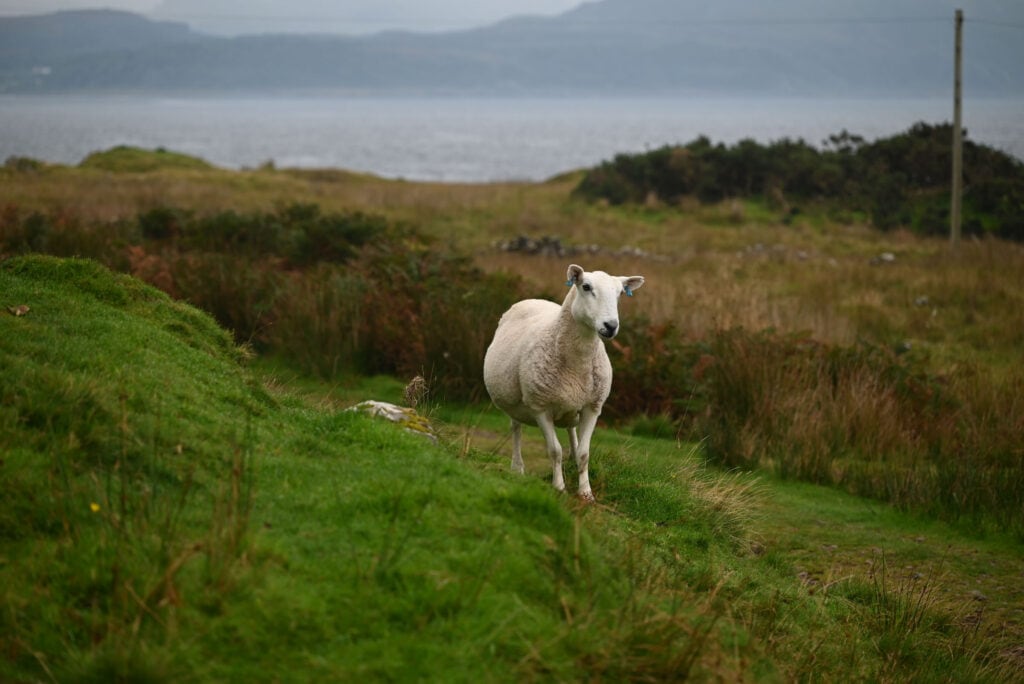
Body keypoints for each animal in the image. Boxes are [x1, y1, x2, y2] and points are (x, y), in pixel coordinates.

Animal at [483, 262, 643, 497]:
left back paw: (571, 457)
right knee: (516, 429)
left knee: (570, 429)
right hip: (515, 402)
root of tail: (534, 299)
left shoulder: (593, 407)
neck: (578, 363)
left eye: (620, 293)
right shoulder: (540, 407)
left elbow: (585, 453)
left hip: (572, 404)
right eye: (586, 287)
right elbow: (554, 451)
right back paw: (517, 468)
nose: (611, 326)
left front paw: (586, 492)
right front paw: (559, 487)